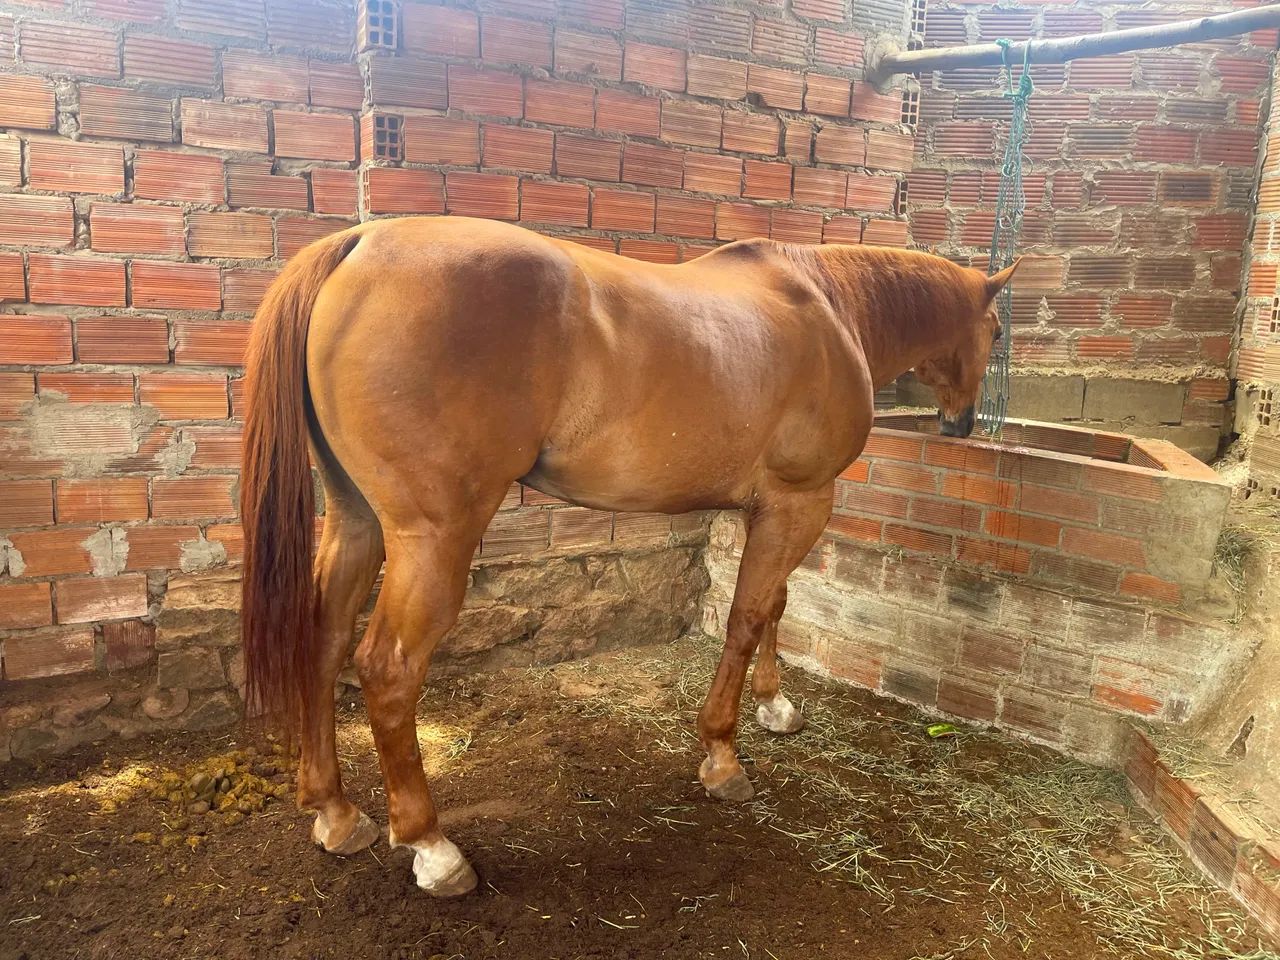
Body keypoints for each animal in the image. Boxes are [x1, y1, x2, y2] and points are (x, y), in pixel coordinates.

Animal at [240, 215, 1017, 896]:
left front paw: (776, 706)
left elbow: (774, 606)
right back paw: (432, 848)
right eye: (999, 330)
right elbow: (747, 617)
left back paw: (336, 813)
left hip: (357, 521)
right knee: (388, 669)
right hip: (433, 538)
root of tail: (357, 244)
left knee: (323, 641)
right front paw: (723, 757)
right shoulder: (802, 501)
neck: (829, 309)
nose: (962, 424)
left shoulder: (774, 508)